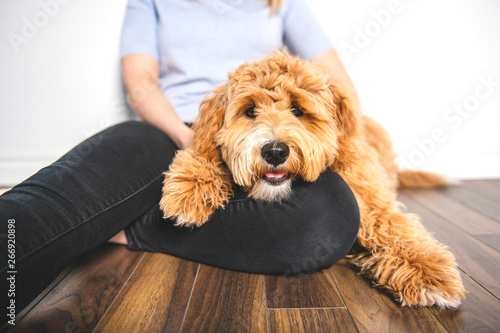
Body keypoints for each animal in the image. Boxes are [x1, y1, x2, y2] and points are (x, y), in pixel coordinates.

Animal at [159, 50, 464, 308]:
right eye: (250, 111)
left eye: (297, 110)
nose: (274, 151)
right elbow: (206, 155)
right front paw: (190, 188)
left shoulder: (370, 195)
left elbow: (396, 228)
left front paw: (428, 273)